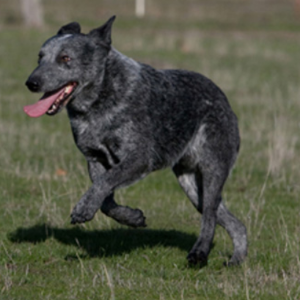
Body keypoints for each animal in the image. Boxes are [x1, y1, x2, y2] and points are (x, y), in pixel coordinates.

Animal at [24, 15, 247, 264]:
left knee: (209, 215)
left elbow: (105, 182)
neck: (100, 99)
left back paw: (199, 253)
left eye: (65, 58)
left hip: (211, 171)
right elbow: (105, 200)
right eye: (40, 57)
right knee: (234, 223)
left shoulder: (139, 159)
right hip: (190, 183)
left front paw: (83, 208)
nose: (31, 83)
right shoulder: (95, 159)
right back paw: (237, 258)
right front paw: (132, 217)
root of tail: (224, 99)